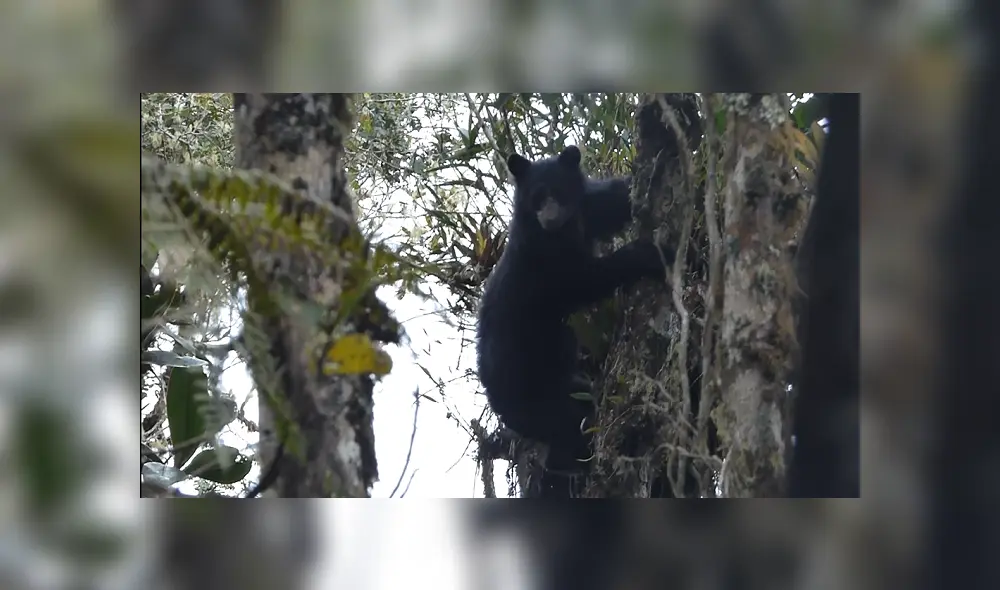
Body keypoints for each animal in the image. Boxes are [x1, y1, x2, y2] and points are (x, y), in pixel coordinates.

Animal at [476, 145, 674, 497]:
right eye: (537, 197)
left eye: (558, 192)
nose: (550, 216)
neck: (563, 230)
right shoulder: (543, 262)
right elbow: (584, 280)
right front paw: (650, 253)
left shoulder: (588, 211)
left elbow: (617, 200)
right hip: (531, 393)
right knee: (570, 423)